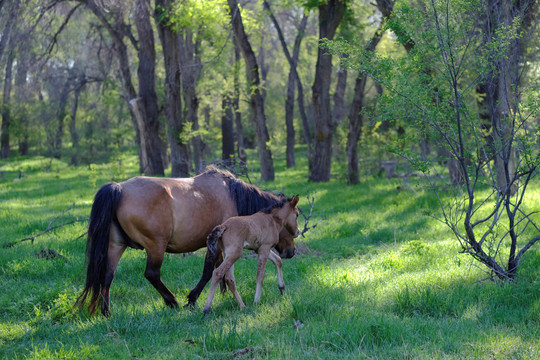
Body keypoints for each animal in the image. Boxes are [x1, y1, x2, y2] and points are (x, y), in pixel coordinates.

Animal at [74, 167, 298, 316]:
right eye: (295, 217)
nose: (291, 252)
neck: (232, 195)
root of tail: (119, 188)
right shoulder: (215, 246)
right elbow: (209, 272)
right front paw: (192, 299)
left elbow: (220, 272)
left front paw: (222, 294)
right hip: (156, 246)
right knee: (152, 274)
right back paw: (171, 301)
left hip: (116, 247)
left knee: (107, 276)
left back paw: (106, 312)